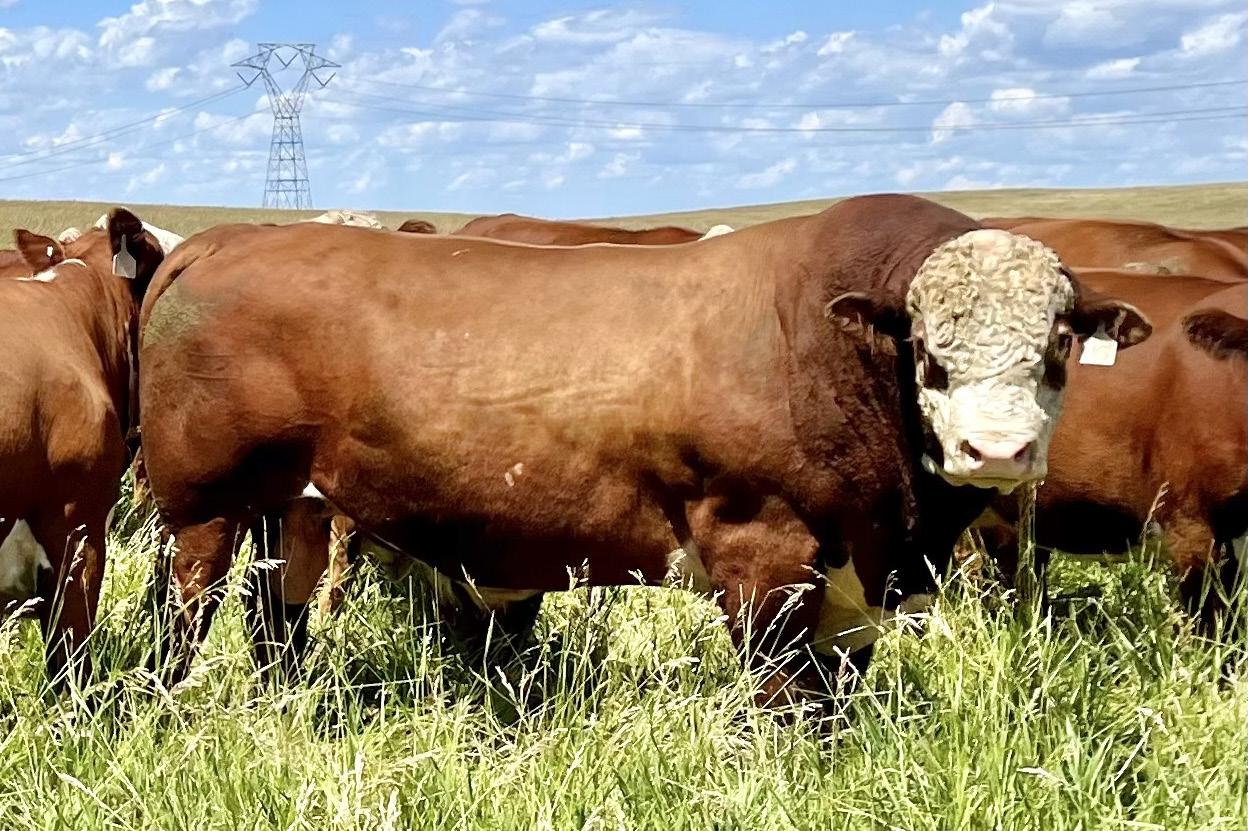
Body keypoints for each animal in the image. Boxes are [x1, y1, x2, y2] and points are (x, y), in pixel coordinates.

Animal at [137, 194, 1148, 709]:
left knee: (277, 614)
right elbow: (785, 697)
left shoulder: (856, 583)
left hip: (296, 503)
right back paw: (165, 700)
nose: (997, 448)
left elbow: (837, 697)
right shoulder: (763, 553)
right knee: (186, 609)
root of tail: (230, 238)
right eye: (931, 353)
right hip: (203, 507)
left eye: (1060, 343)